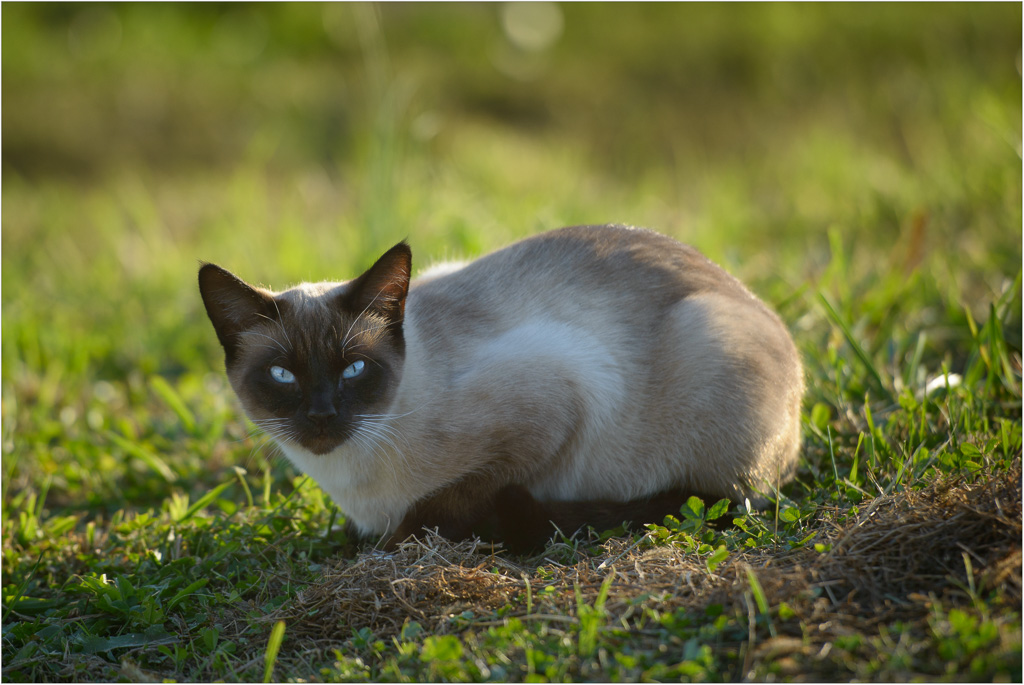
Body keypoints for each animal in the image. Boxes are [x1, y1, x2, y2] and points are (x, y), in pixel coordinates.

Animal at [199, 224, 802, 548]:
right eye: (283, 375)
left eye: (354, 370)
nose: (322, 417)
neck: (351, 483)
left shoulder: (558, 396)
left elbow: (447, 499)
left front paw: (390, 544)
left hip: (705, 337)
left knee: (730, 496)